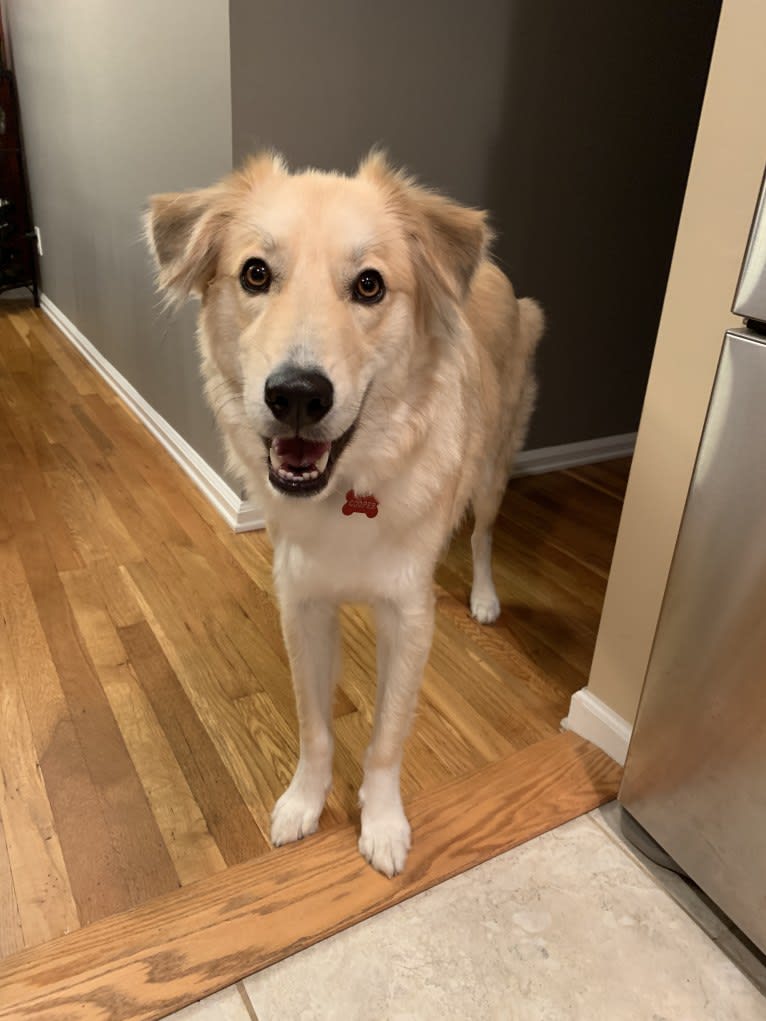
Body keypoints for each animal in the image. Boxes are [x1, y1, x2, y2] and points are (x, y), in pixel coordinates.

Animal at [142, 153, 539, 878]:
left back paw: (483, 595)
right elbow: (314, 726)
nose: (298, 395)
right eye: (255, 273)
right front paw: (304, 803)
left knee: (485, 533)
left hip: (495, 468)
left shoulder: (407, 619)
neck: (349, 488)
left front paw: (381, 824)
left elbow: (385, 739)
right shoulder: (302, 604)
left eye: (370, 285)